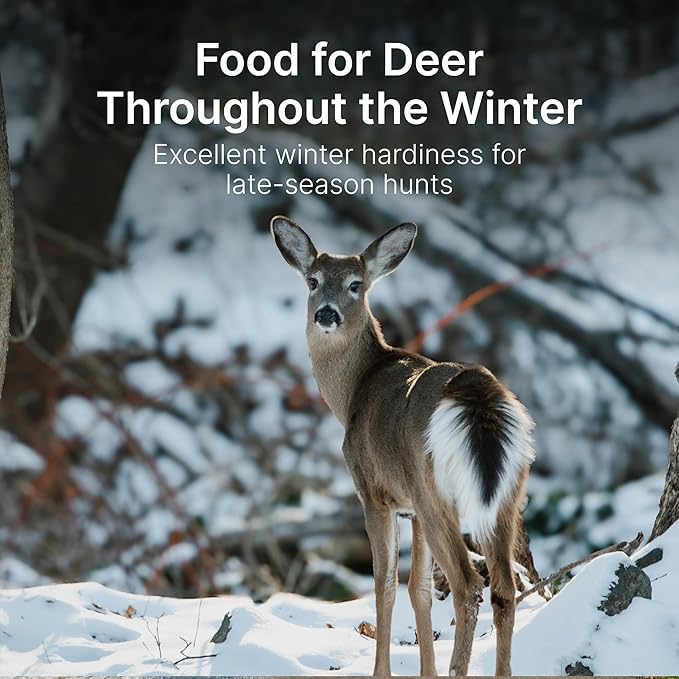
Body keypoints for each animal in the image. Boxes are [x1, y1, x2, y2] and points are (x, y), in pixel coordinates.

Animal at [270, 215, 535, 677]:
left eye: (356, 284)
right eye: (313, 281)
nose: (326, 313)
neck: (353, 393)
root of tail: (478, 393)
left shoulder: (374, 491)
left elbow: (386, 585)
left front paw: (383, 672)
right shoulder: (409, 505)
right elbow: (420, 591)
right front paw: (426, 671)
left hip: (436, 491)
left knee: (469, 585)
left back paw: (458, 668)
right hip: (507, 492)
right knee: (504, 586)